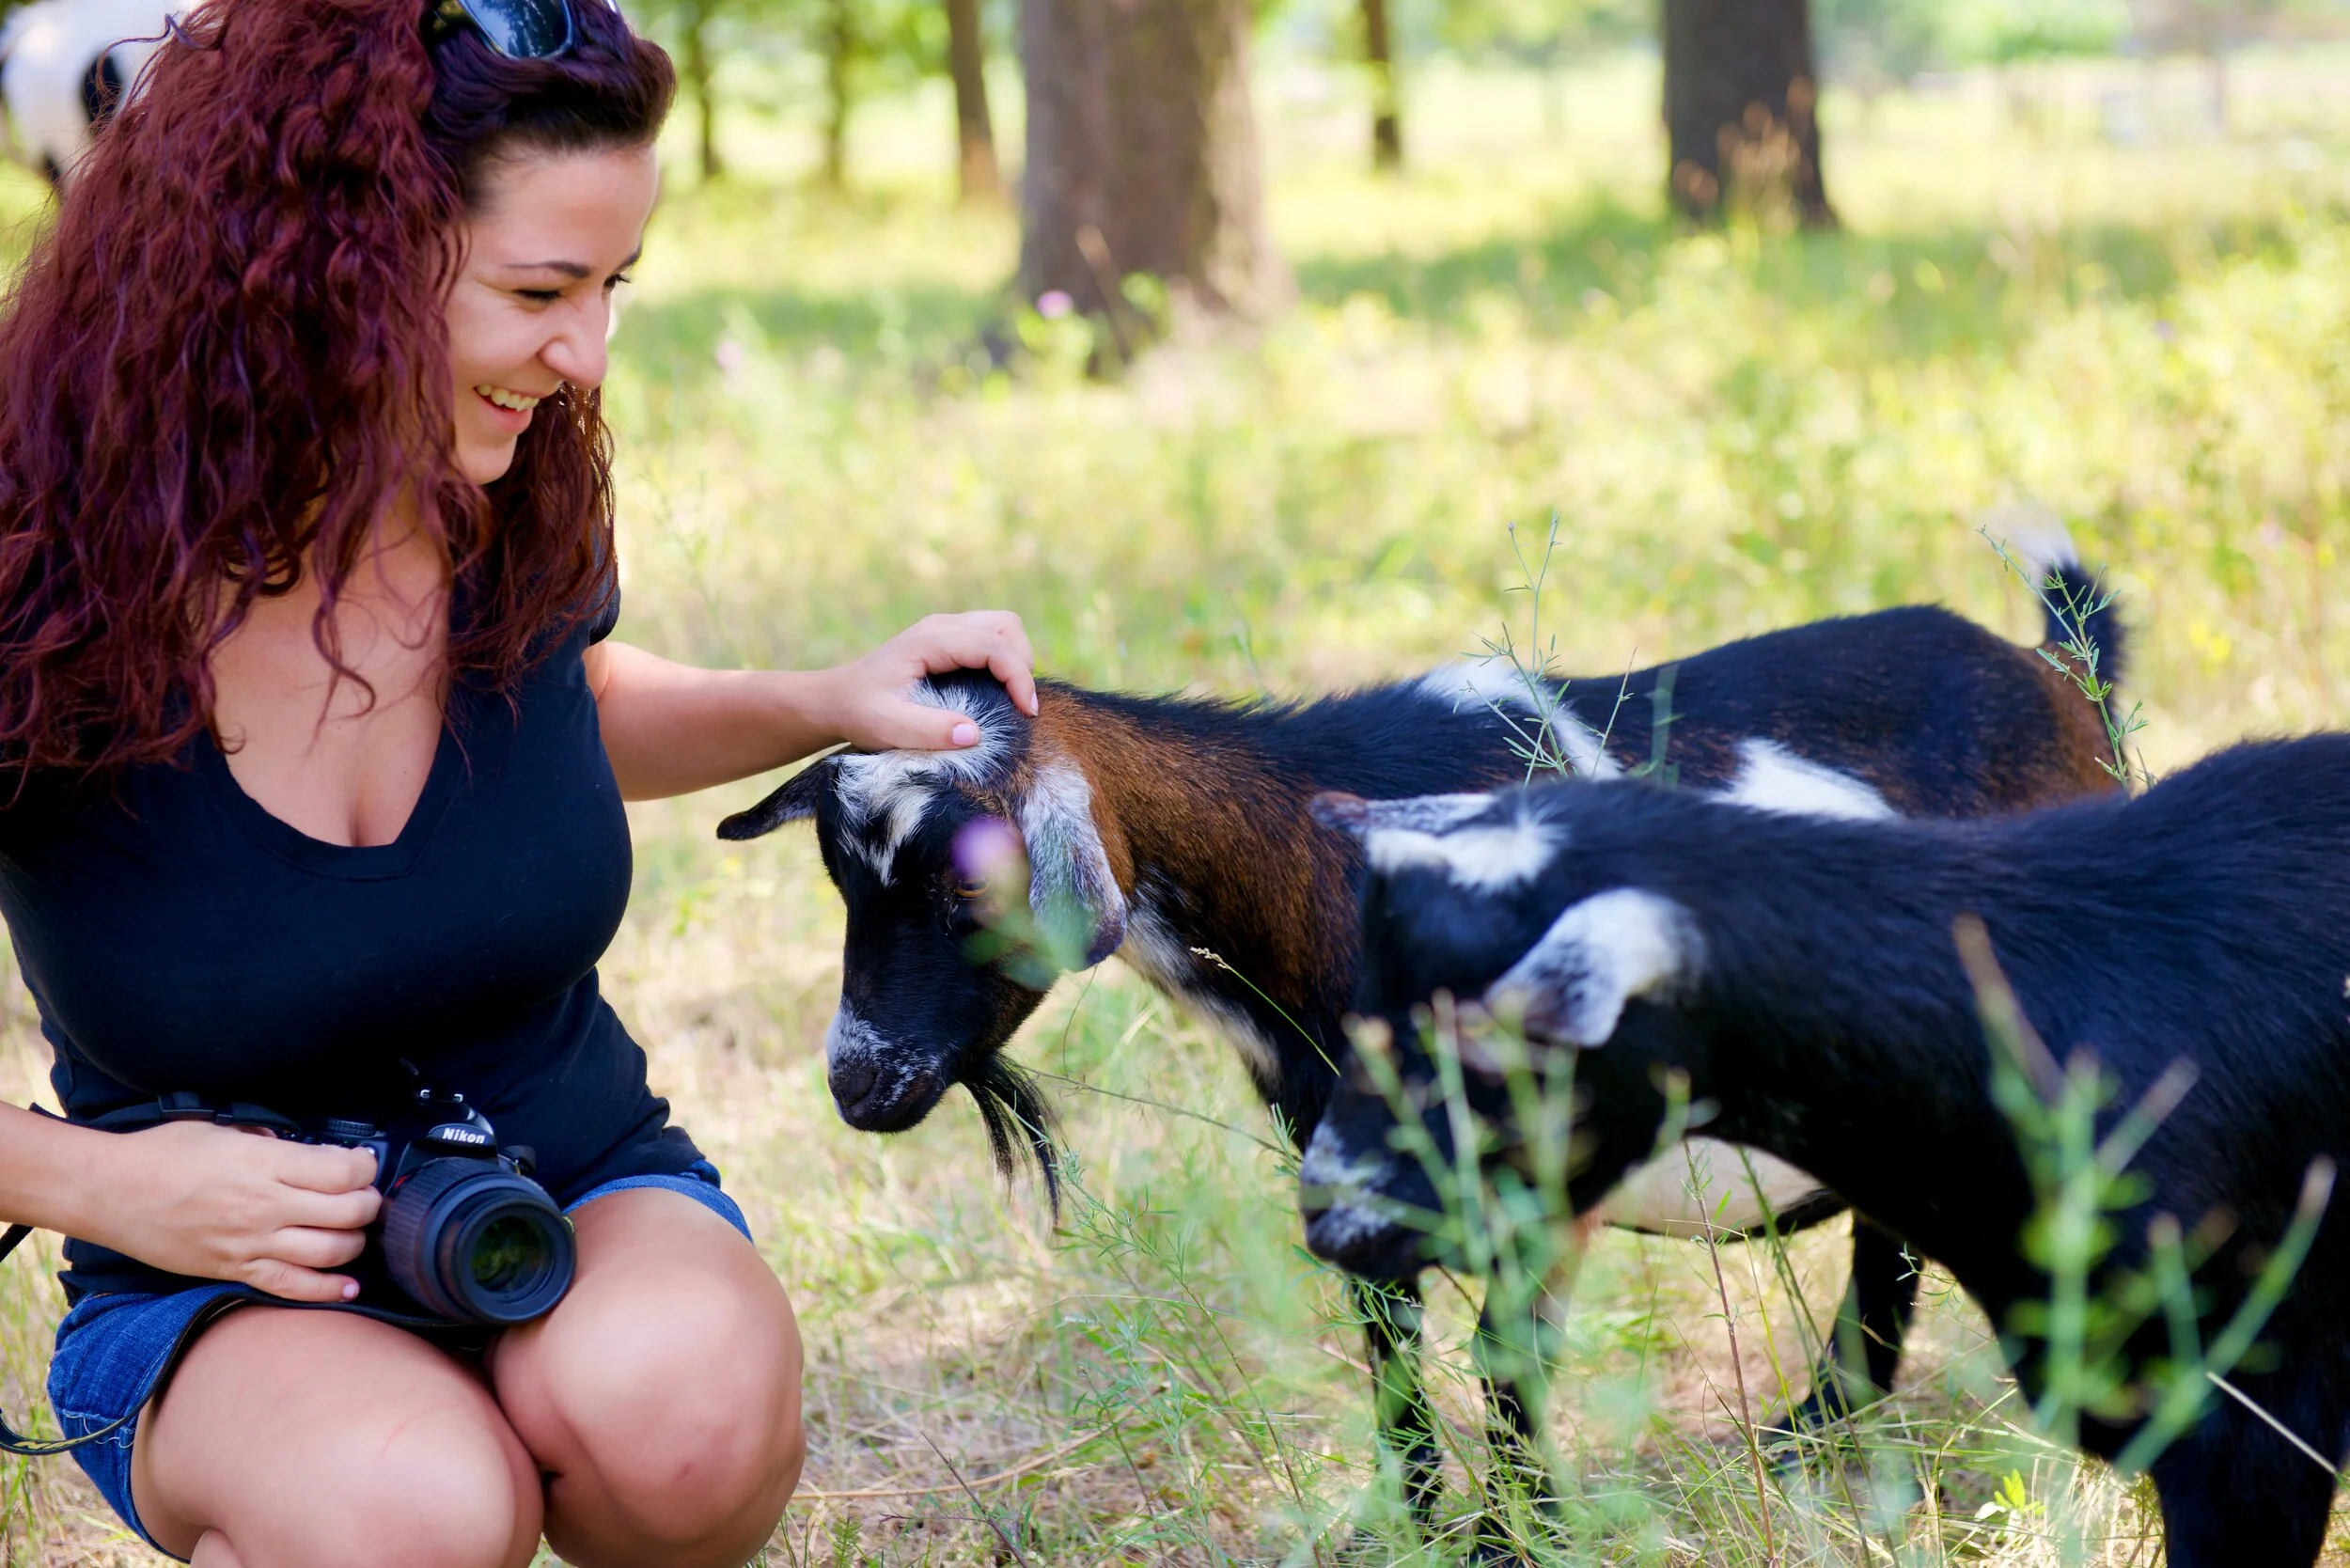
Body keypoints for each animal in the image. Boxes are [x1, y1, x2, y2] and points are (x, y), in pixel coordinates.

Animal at [719, 556, 2119, 1520]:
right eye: (840, 878)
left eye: (965, 883)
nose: (860, 1084)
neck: (1325, 869)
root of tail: (2063, 680)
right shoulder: (1345, 1163)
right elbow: (1391, 1362)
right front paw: (1417, 1529)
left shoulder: (1539, 1175)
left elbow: (1506, 1368)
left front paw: (1519, 1537)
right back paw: (1811, 1437)